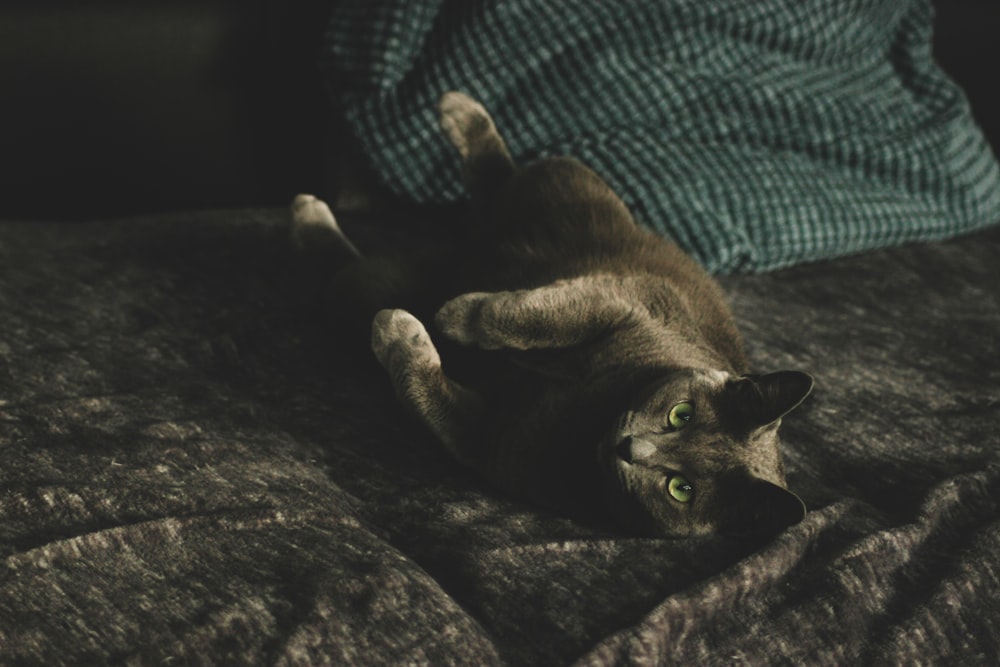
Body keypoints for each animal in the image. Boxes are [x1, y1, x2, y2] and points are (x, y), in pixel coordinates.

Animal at [290, 91, 812, 536]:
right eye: (681, 414)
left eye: (680, 489)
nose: (631, 447)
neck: (597, 412)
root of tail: (468, 251)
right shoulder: (621, 301)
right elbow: (527, 315)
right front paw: (455, 316)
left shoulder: (495, 441)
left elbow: (425, 394)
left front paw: (405, 331)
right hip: (567, 186)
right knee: (504, 176)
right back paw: (456, 110)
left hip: (373, 287)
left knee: (348, 275)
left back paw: (311, 218)